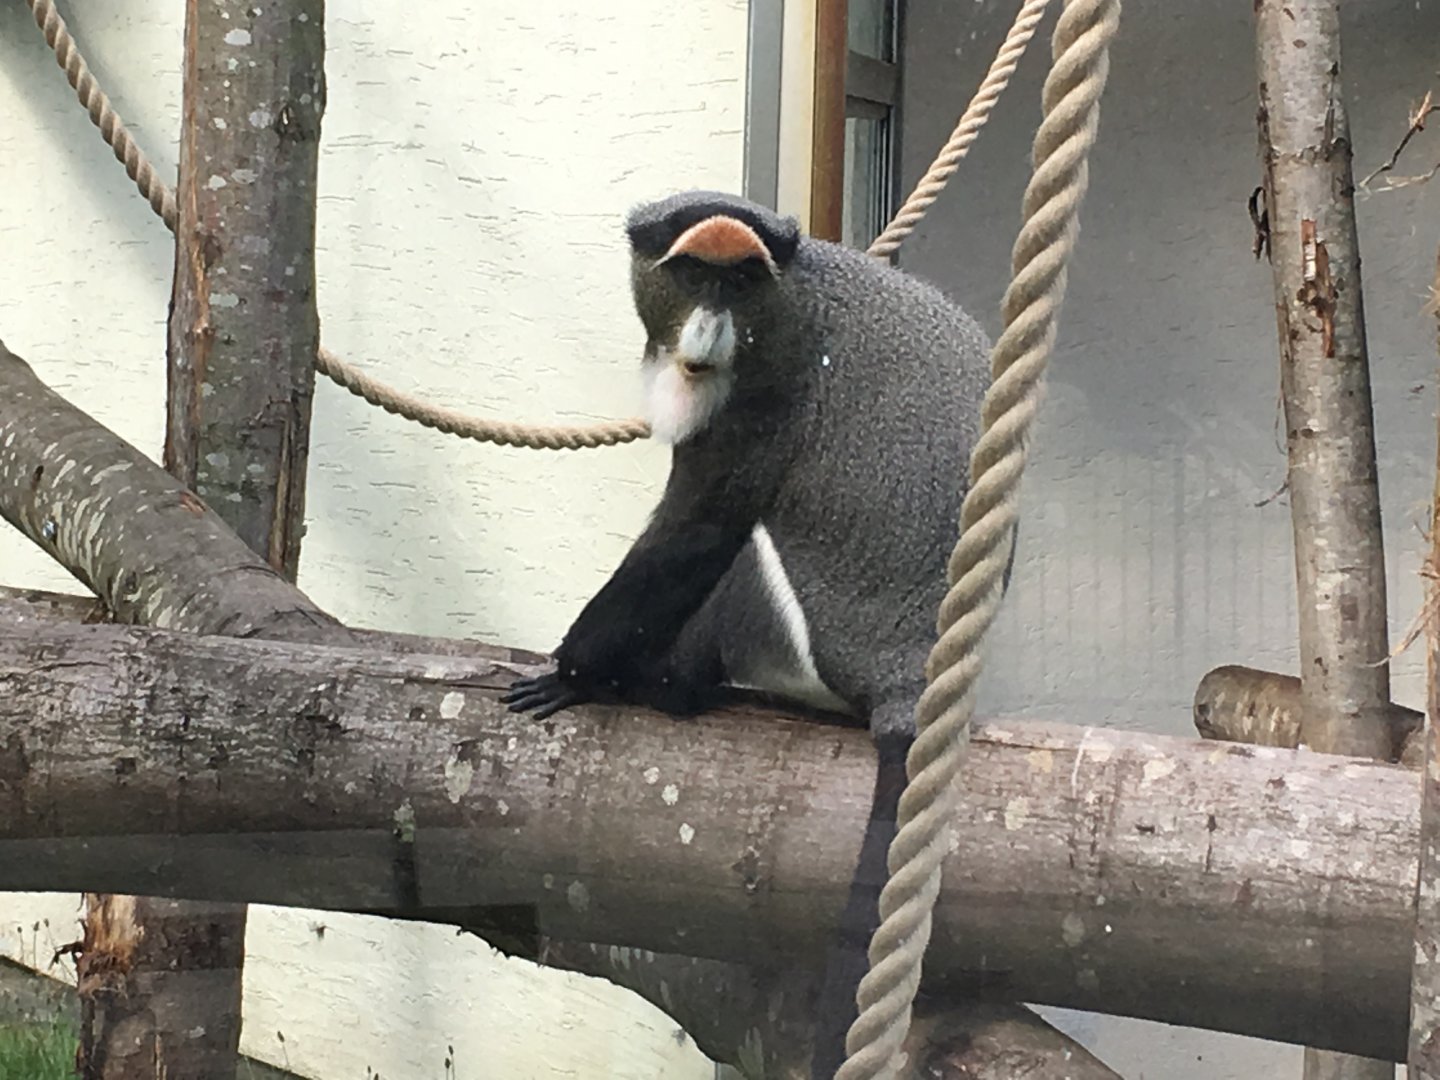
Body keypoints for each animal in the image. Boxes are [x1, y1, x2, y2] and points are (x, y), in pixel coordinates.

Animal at [502, 189, 1006, 1077]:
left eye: (740, 283)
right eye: (694, 274)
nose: (709, 328)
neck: (795, 290)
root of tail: (909, 682)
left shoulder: (772, 386)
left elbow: (700, 524)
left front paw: (572, 673)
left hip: (790, 640)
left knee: (739, 552)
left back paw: (663, 685)